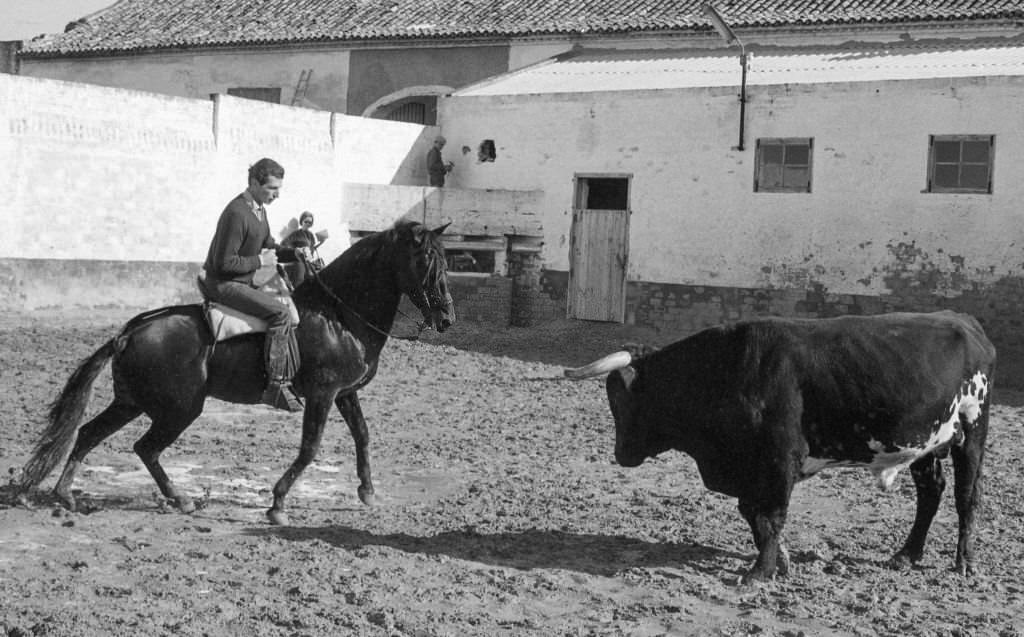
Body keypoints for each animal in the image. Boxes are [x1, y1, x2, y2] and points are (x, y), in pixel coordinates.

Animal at [14, 222, 456, 528]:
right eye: (423, 262)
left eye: (446, 262)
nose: (447, 318)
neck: (338, 315)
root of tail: (131, 331)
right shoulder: (323, 394)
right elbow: (310, 448)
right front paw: (278, 504)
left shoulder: (345, 393)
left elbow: (362, 435)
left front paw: (367, 491)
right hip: (178, 409)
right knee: (145, 448)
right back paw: (178, 499)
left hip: (132, 402)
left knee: (90, 433)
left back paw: (68, 495)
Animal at [565, 311, 995, 585]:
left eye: (619, 400)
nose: (621, 455)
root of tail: (964, 321)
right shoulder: (750, 472)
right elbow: (752, 515)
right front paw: (780, 561)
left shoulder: (779, 461)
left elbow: (770, 517)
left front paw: (759, 572)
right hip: (928, 441)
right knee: (931, 492)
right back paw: (907, 554)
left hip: (973, 427)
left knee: (966, 496)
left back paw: (965, 563)